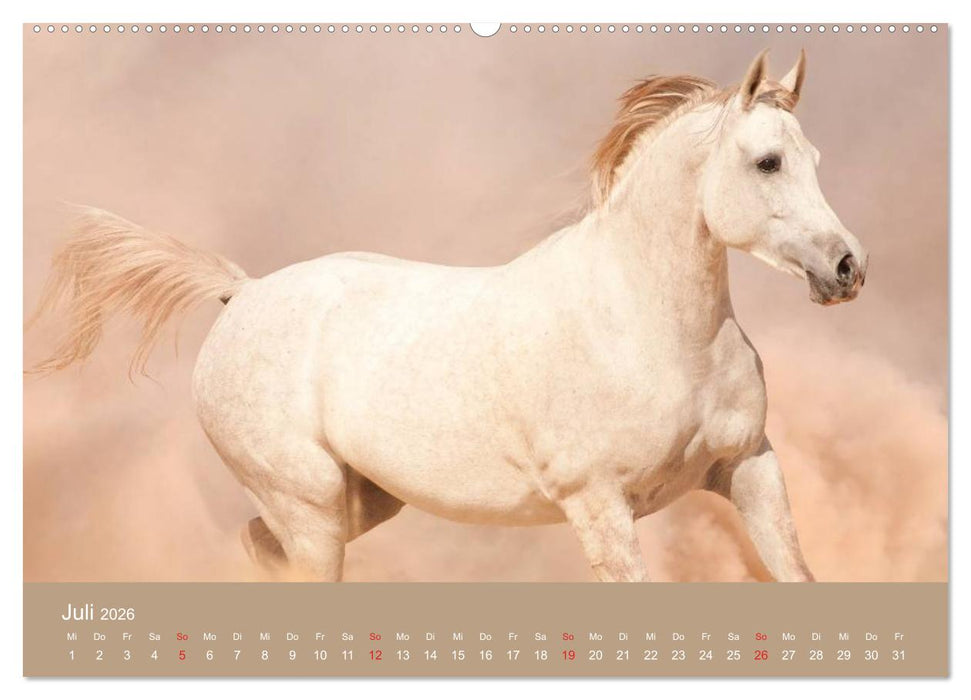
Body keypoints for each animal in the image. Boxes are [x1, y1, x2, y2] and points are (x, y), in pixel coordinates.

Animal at [30, 49, 867, 582]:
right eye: (766, 162)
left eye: (816, 160)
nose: (846, 269)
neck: (652, 330)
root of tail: (244, 293)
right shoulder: (599, 506)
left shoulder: (749, 467)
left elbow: (795, 574)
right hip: (311, 511)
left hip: (361, 503)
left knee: (259, 549)